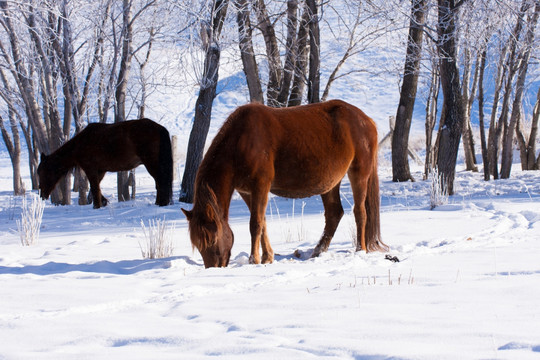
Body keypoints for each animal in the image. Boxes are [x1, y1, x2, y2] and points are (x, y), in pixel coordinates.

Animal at [38, 118, 173, 208]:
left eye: (42, 172)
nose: (41, 193)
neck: (80, 144)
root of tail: (160, 128)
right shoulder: (101, 170)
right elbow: (97, 187)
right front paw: (103, 202)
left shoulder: (90, 169)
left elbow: (94, 188)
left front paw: (97, 206)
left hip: (152, 164)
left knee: (161, 182)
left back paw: (161, 203)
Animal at [182, 100, 388, 268]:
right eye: (197, 244)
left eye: (212, 238)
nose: (213, 267)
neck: (240, 142)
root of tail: (367, 120)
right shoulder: (247, 191)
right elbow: (263, 222)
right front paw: (267, 257)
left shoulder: (261, 185)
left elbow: (255, 223)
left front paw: (254, 260)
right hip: (330, 183)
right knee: (334, 214)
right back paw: (318, 251)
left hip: (359, 173)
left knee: (360, 212)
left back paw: (360, 250)